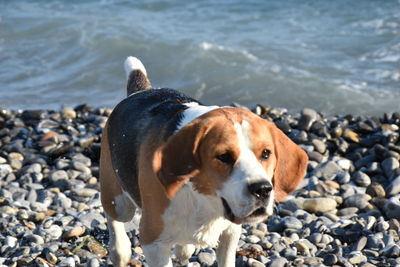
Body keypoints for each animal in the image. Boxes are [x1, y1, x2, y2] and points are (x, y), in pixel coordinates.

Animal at [98, 57, 308, 267]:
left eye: (266, 153)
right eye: (224, 156)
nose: (262, 189)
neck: (204, 200)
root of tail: (140, 91)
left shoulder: (231, 231)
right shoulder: (153, 242)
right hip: (119, 202)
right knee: (114, 218)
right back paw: (120, 250)